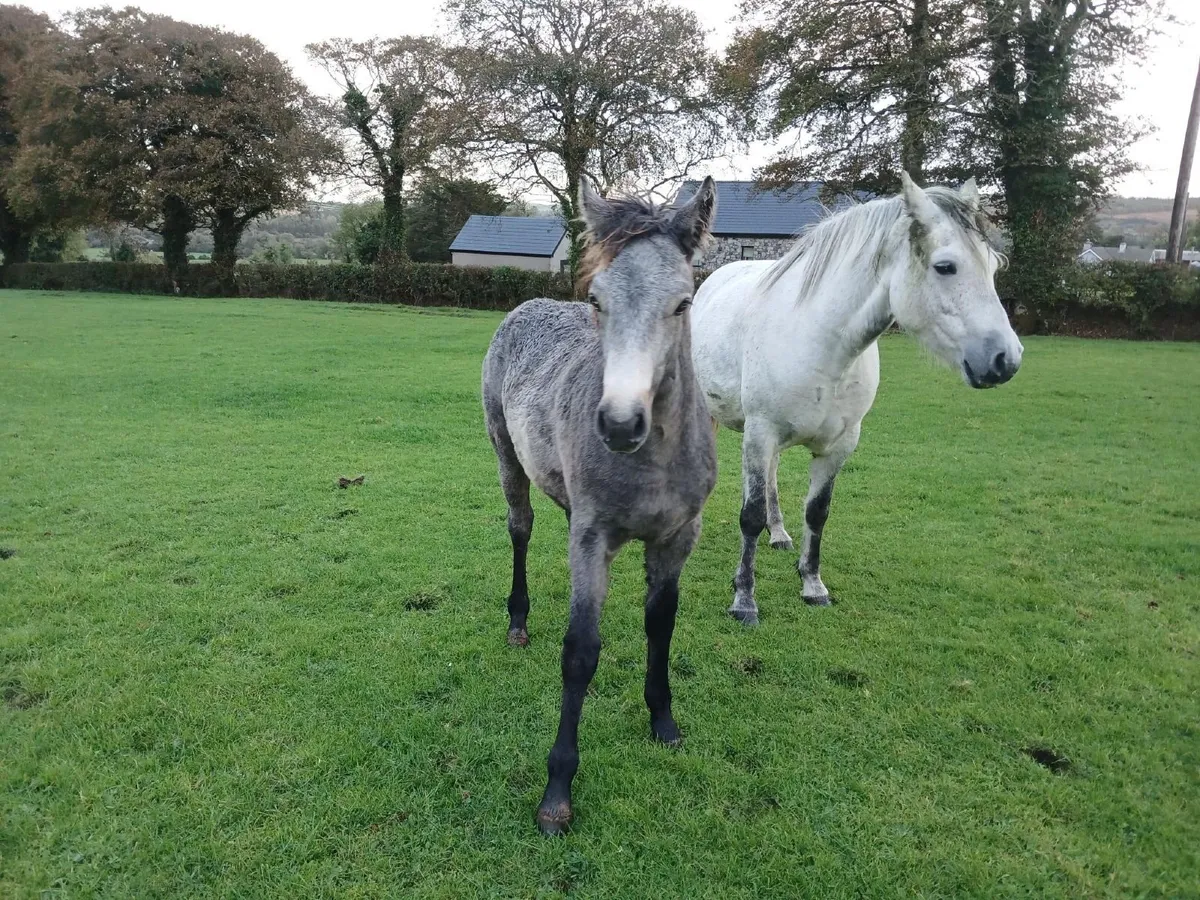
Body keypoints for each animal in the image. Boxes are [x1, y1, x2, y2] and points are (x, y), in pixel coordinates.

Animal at [482, 177, 718, 834]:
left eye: (683, 303)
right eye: (598, 299)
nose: (618, 423)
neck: (654, 459)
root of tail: (526, 306)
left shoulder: (677, 537)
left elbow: (661, 625)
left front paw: (663, 722)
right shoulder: (592, 538)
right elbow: (580, 651)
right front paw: (557, 791)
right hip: (507, 457)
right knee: (520, 528)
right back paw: (518, 621)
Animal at [690, 173, 1023, 627]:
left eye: (993, 266)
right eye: (945, 266)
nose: (1006, 359)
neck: (820, 342)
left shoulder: (840, 445)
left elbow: (817, 512)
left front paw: (813, 586)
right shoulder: (760, 435)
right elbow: (750, 515)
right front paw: (744, 600)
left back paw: (779, 534)